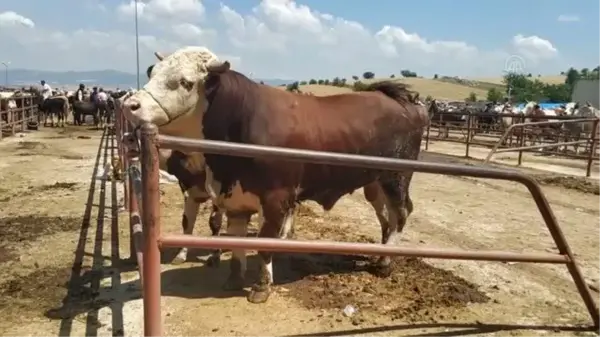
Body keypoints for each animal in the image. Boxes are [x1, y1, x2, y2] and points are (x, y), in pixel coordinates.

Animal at [120, 46, 432, 302]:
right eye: (153, 72)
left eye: (185, 82)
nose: (130, 106)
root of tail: (404, 101)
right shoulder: (235, 200)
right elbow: (236, 241)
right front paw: (234, 278)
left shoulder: (275, 200)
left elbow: (264, 243)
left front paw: (261, 287)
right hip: (374, 183)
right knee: (386, 217)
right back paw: (382, 253)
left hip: (396, 177)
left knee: (401, 213)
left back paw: (386, 263)